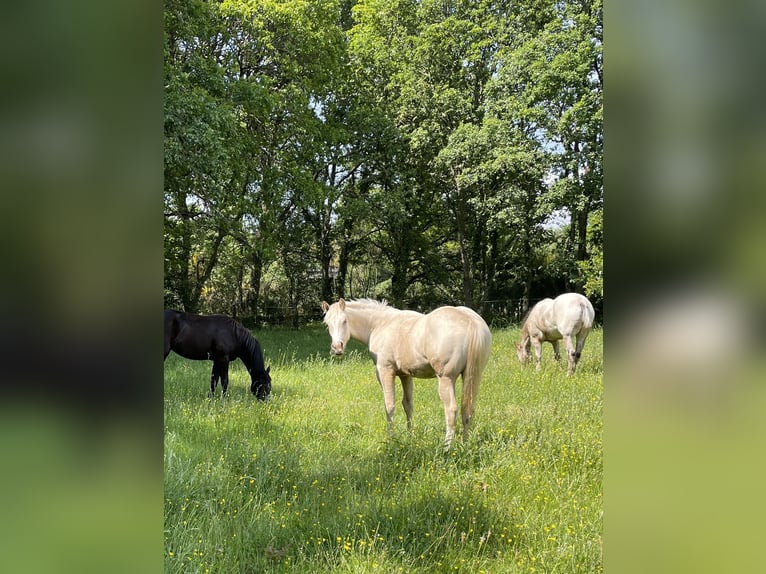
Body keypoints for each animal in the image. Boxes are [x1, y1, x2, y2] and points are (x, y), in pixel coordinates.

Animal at [322, 300, 492, 452]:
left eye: (344, 321)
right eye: (327, 324)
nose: (337, 348)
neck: (379, 324)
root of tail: (470, 321)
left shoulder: (385, 371)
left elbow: (389, 406)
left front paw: (391, 439)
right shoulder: (406, 375)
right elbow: (408, 405)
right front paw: (410, 437)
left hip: (446, 379)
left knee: (451, 411)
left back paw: (447, 449)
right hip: (473, 377)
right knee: (467, 411)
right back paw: (464, 445)